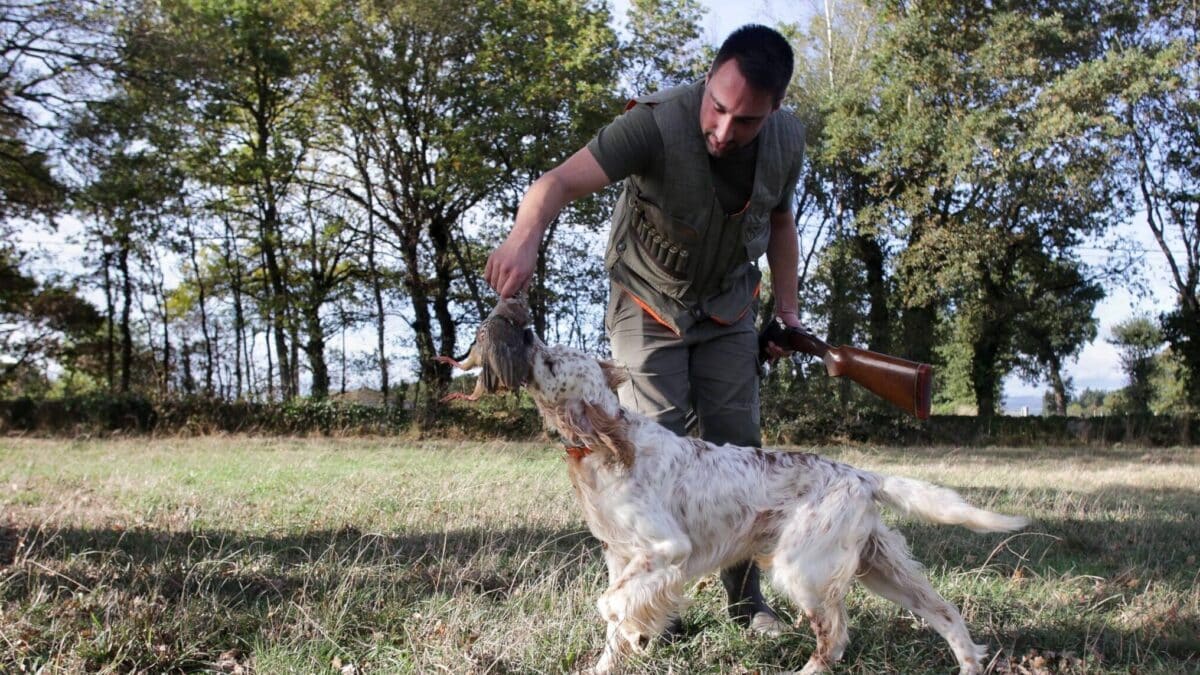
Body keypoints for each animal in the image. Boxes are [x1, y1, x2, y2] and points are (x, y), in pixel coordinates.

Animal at [528, 343, 1032, 667]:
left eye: (550, 361)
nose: (525, 333)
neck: (610, 445)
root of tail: (860, 475)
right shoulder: (621, 557)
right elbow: (616, 624)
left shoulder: (667, 550)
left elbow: (611, 605)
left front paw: (636, 630)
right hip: (879, 567)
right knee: (944, 611)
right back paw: (968, 663)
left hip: (802, 569)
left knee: (834, 638)